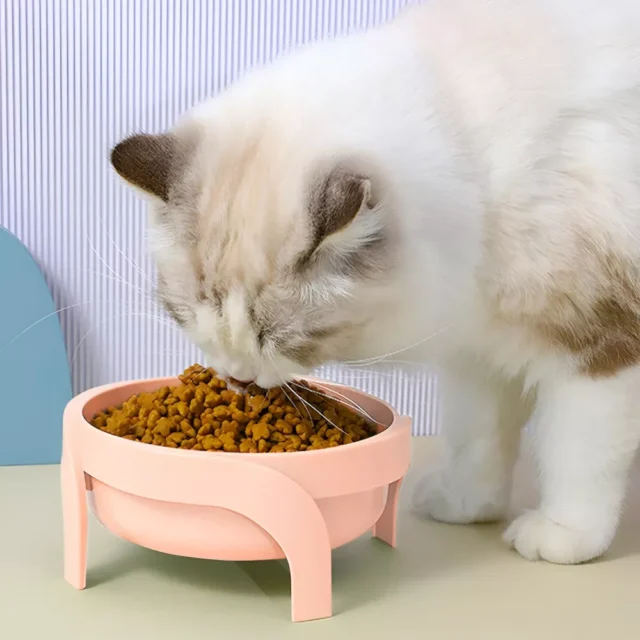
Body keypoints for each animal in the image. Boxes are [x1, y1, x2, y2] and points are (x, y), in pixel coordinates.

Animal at [110, 0, 640, 565]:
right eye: (186, 320)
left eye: (281, 341)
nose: (237, 379)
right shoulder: (477, 351)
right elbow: (478, 440)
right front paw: (465, 506)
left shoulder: (601, 347)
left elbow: (577, 456)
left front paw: (563, 537)